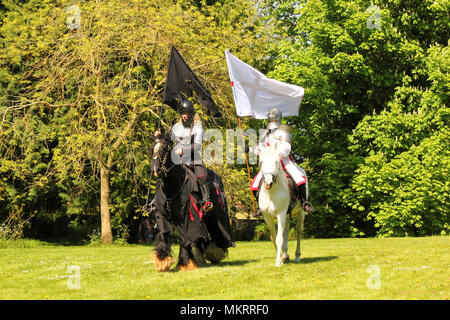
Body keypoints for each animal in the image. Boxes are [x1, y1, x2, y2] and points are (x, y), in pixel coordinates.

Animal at [150, 131, 236, 272]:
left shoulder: (187, 219)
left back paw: (212, 254)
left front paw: (185, 263)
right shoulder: (162, 216)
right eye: (152, 149)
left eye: (165, 149)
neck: (173, 186)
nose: (155, 170)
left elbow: (186, 238)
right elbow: (164, 233)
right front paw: (162, 261)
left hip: (215, 215)